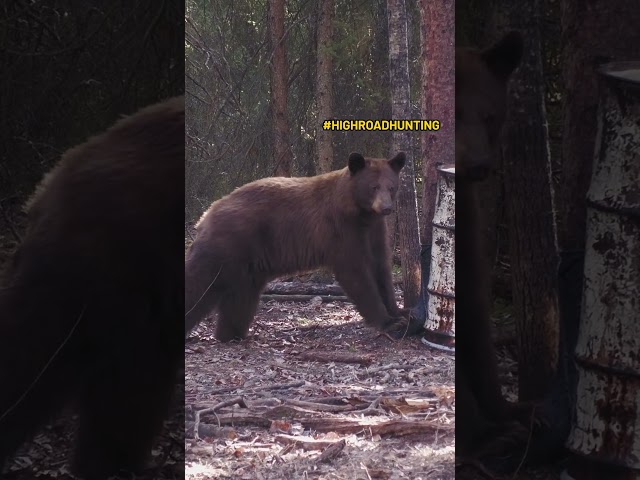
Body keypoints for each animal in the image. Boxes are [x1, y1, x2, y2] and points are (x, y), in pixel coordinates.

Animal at [182, 152, 408, 340]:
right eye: (373, 187)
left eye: (391, 187)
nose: (386, 208)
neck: (361, 213)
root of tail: (206, 215)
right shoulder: (341, 230)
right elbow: (356, 273)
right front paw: (387, 321)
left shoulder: (374, 231)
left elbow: (380, 268)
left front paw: (398, 312)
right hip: (227, 246)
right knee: (199, 283)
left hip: (247, 266)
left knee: (240, 296)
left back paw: (231, 334)